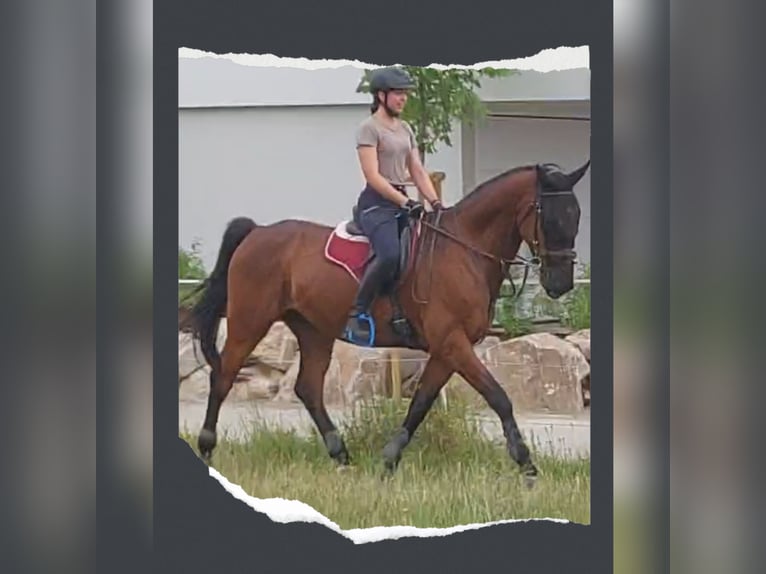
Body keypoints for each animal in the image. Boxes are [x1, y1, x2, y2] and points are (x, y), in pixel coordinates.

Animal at [188, 161, 592, 486]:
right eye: (551, 218)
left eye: (576, 216)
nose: (561, 284)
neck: (464, 249)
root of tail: (257, 232)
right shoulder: (453, 342)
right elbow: (499, 397)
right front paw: (527, 465)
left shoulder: (446, 349)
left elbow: (420, 404)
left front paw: (388, 461)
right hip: (249, 321)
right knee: (223, 376)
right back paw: (207, 449)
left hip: (314, 330)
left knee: (308, 388)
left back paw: (342, 457)